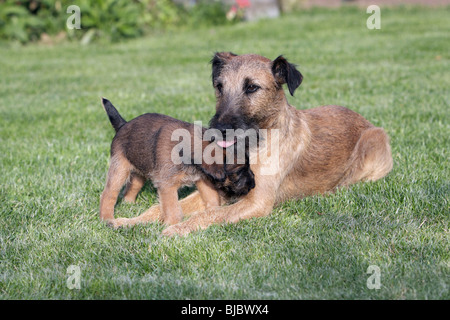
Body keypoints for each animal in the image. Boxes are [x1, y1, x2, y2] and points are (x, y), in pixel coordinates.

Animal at [111, 52, 390, 235]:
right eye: (219, 86)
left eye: (252, 88)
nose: (218, 129)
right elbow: (159, 207)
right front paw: (128, 221)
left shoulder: (257, 201)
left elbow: (211, 213)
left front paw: (177, 229)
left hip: (374, 142)